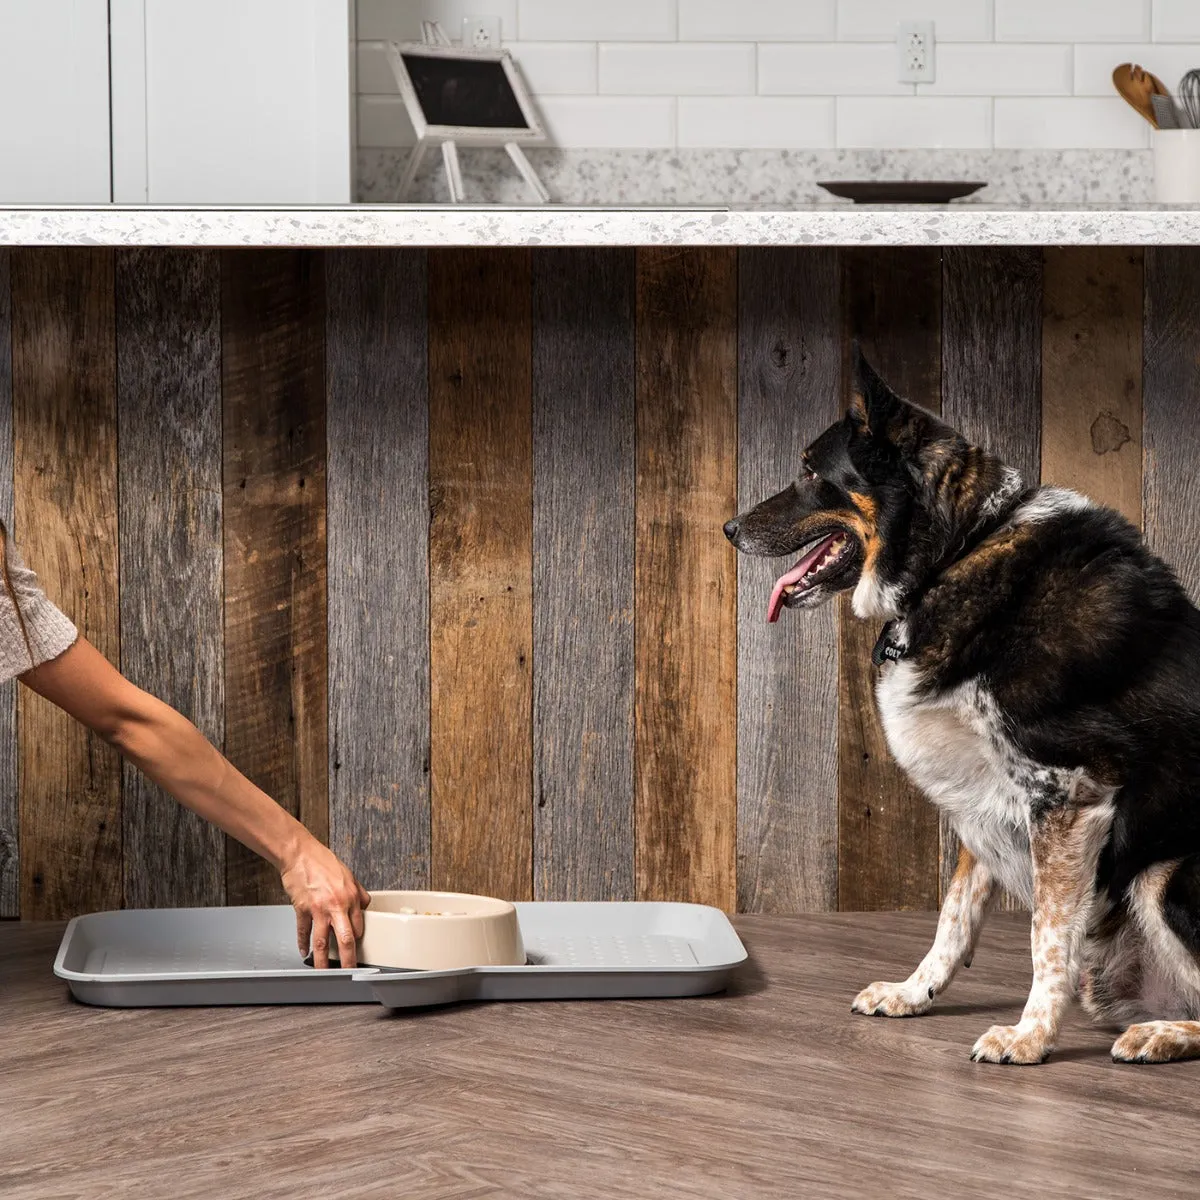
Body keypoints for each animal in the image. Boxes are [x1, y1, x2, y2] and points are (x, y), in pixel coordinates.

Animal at [724, 348, 1200, 1070]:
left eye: (811, 471)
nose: (727, 529)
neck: (956, 552)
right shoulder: (982, 794)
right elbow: (954, 914)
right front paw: (913, 992)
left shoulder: (1071, 793)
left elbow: (1046, 937)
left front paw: (1029, 1037)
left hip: (1165, 873)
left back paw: (1160, 1033)